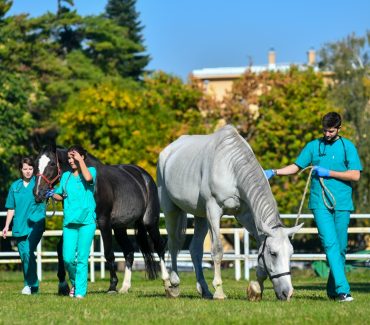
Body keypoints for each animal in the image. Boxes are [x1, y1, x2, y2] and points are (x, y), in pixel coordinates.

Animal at [158, 125, 302, 300]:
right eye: (273, 253)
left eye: (291, 253)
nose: (287, 292)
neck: (231, 166)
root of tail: (167, 151)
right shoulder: (213, 211)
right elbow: (217, 250)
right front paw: (219, 291)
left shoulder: (246, 215)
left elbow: (259, 244)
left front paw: (256, 288)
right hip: (171, 210)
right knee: (172, 244)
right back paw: (172, 284)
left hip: (200, 216)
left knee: (195, 250)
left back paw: (204, 290)